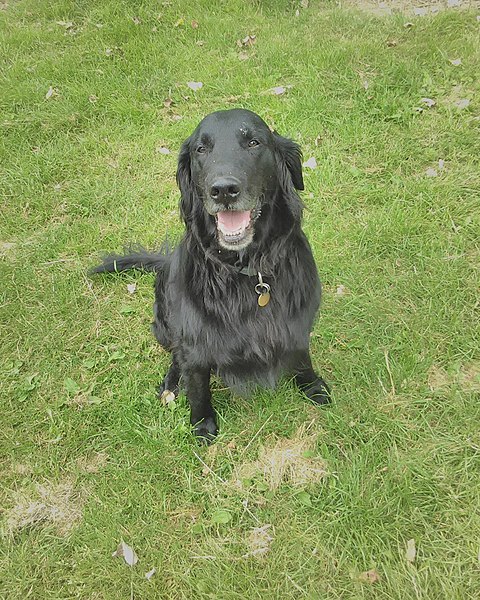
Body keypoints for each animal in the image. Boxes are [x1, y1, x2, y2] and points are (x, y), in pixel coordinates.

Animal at [90, 108, 330, 438]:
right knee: (175, 356)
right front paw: (202, 423)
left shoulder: (297, 322)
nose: (224, 190)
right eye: (201, 149)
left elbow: (302, 356)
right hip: (165, 322)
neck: (246, 273)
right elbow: (198, 385)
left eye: (253, 142)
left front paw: (311, 385)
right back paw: (171, 383)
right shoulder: (194, 341)